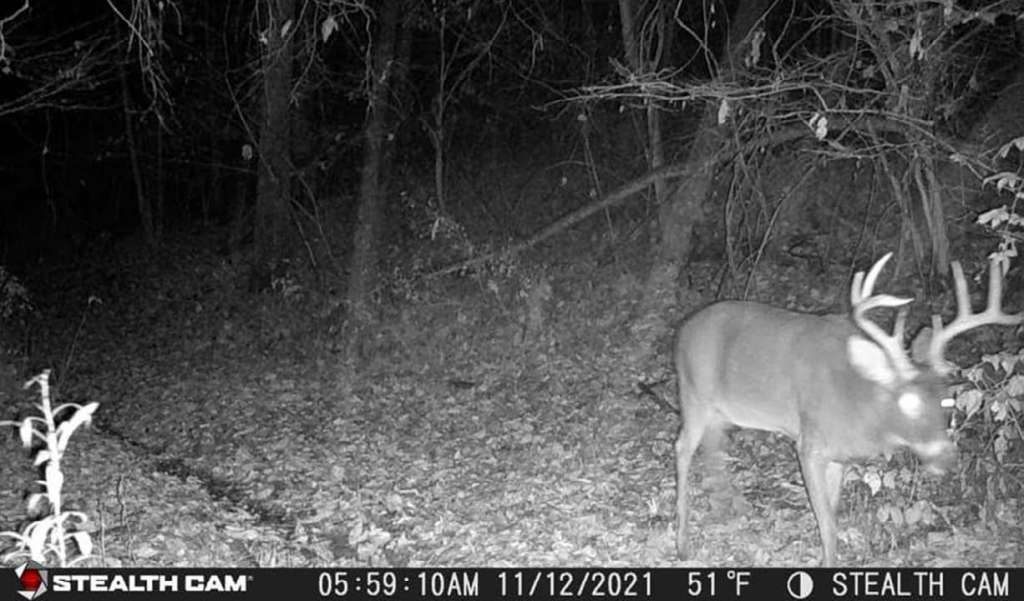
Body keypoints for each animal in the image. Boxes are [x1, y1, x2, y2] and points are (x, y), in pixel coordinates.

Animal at [673, 252, 1022, 566]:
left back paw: (727, 509)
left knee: (713, 447)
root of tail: (684, 329)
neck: (857, 403)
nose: (947, 458)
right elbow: (827, 525)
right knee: (682, 447)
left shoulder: (839, 456)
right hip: (694, 393)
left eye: (947, 400)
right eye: (907, 400)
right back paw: (683, 543)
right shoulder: (809, 445)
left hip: (720, 412)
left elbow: (833, 515)